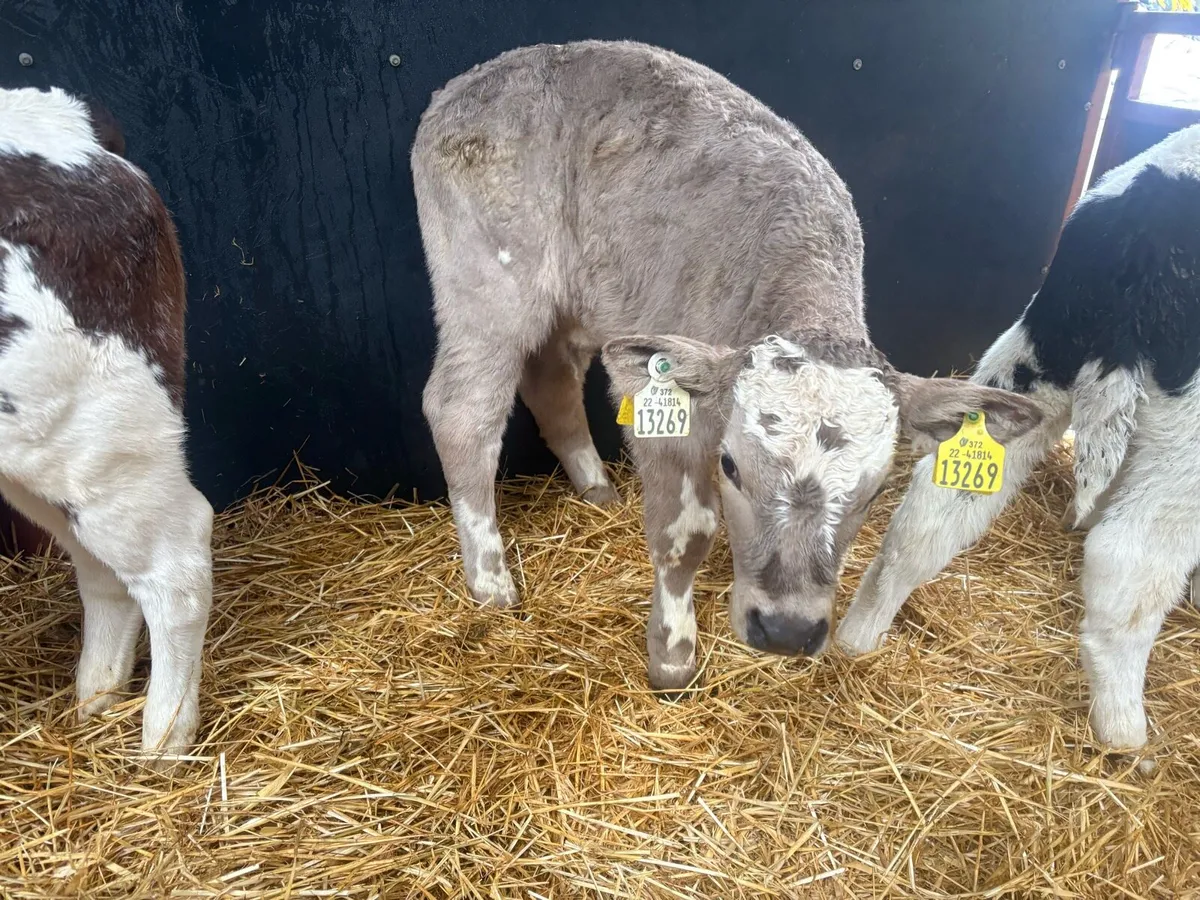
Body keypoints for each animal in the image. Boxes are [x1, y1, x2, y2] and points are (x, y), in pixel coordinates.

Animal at [412, 40, 1042, 691]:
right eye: (731, 467)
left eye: (874, 493)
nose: (787, 631)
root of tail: (473, 80)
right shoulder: (661, 398)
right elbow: (685, 533)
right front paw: (672, 655)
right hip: (489, 282)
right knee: (463, 409)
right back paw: (490, 581)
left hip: (579, 299)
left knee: (552, 379)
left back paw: (597, 490)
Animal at [837, 123, 1200, 761]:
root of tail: (1145, 217)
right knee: (1130, 553)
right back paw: (1124, 731)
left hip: (1037, 353)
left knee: (931, 514)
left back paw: (859, 635)